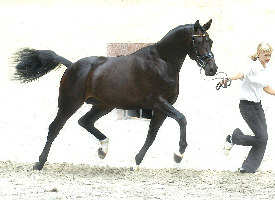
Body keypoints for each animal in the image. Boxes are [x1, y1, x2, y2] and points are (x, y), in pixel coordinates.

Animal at [12, 19, 218, 170]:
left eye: (210, 41)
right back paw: (39, 163)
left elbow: (151, 135)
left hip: (104, 105)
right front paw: (179, 155)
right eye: (198, 41)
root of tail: (72, 66)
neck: (161, 62)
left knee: (85, 121)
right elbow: (182, 119)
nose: (212, 69)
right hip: (69, 103)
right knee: (55, 127)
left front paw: (135, 163)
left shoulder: (161, 109)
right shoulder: (158, 103)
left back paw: (103, 149)